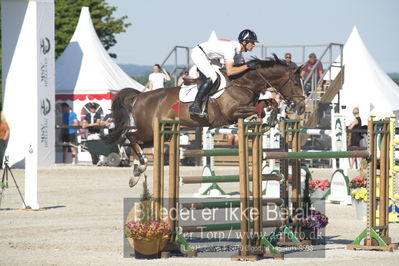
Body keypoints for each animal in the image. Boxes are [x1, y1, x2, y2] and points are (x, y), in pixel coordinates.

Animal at [104, 55, 304, 185]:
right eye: (295, 83)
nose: (301, 107)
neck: (244, 82)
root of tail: (139, 96)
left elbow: (269, 103)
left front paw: (269, 120)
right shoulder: (232, 112)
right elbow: (258, 109)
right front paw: (264, 120)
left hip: (161, 133)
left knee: (138, 144)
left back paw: (136, 172)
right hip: (149, 129)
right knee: (131, 137)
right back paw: (141, 167)